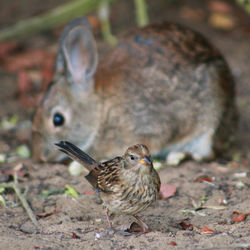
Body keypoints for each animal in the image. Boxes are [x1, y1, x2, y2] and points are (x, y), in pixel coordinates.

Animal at [32, 17, 237, 165]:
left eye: (58, 119)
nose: (41, 156)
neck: (101, 110)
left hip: (210, 124)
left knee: (207, 153)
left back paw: (178, 155)